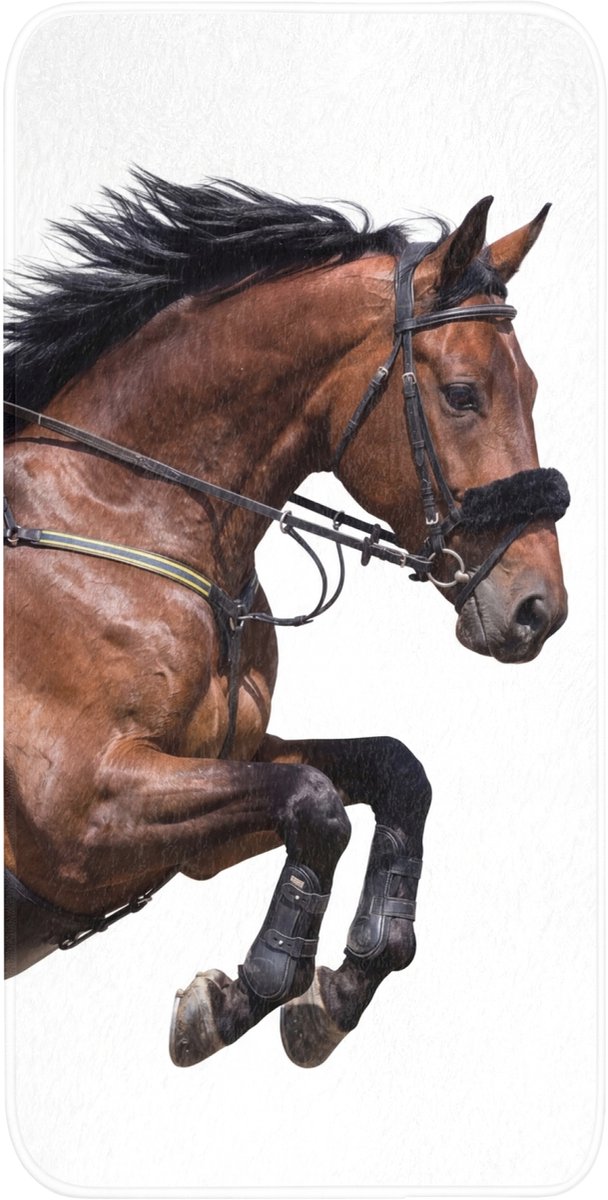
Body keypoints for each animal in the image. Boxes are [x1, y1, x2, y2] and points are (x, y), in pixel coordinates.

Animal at [4, 171, 569, 1069]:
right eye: (462, 395)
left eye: (536, 389)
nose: (538, 608)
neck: (125, 513)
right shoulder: (80, 816)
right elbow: (317, 803)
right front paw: (248, 991)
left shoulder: (200, 803)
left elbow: (391, 771)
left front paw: (340, 985)